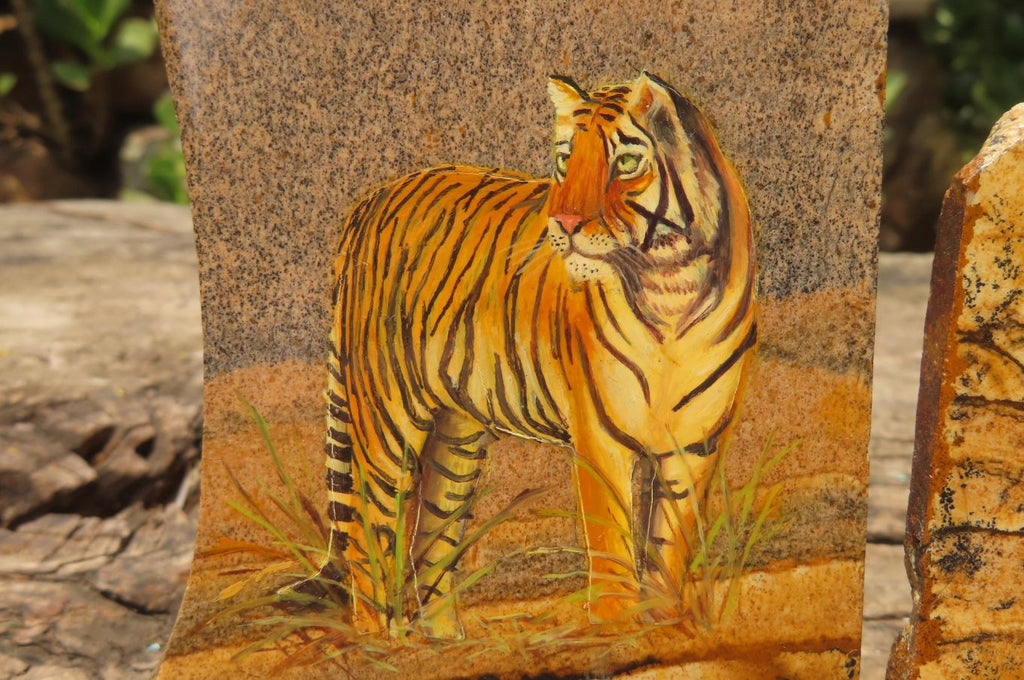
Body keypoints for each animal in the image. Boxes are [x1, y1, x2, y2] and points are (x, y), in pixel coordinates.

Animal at [306, 72, 757, 640]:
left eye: (627, 163)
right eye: (565, 158)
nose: (563, 221)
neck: (671, 286)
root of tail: (372, 198)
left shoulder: (695, 443)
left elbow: (669, 547)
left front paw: (666, 626)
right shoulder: (601, 436)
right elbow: (611, 540)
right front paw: (614, 627)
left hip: (457, 432)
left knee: (432, 538)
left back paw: (446, 643)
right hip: (385, 418)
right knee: (371, 533)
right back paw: (381, 641)